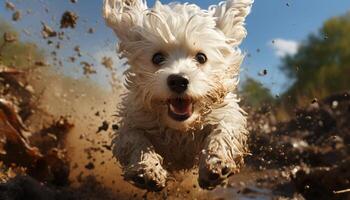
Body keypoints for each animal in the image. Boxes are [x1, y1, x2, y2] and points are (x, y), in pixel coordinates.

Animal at [102, 0, 253, 191]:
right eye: (157, 58)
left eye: (201, 57)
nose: (178, 81)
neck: (180, 129)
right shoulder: (133, 121)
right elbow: (136, 140)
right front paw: (148, 168)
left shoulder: (225, 114)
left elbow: (223, 131)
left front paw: (216, 162)